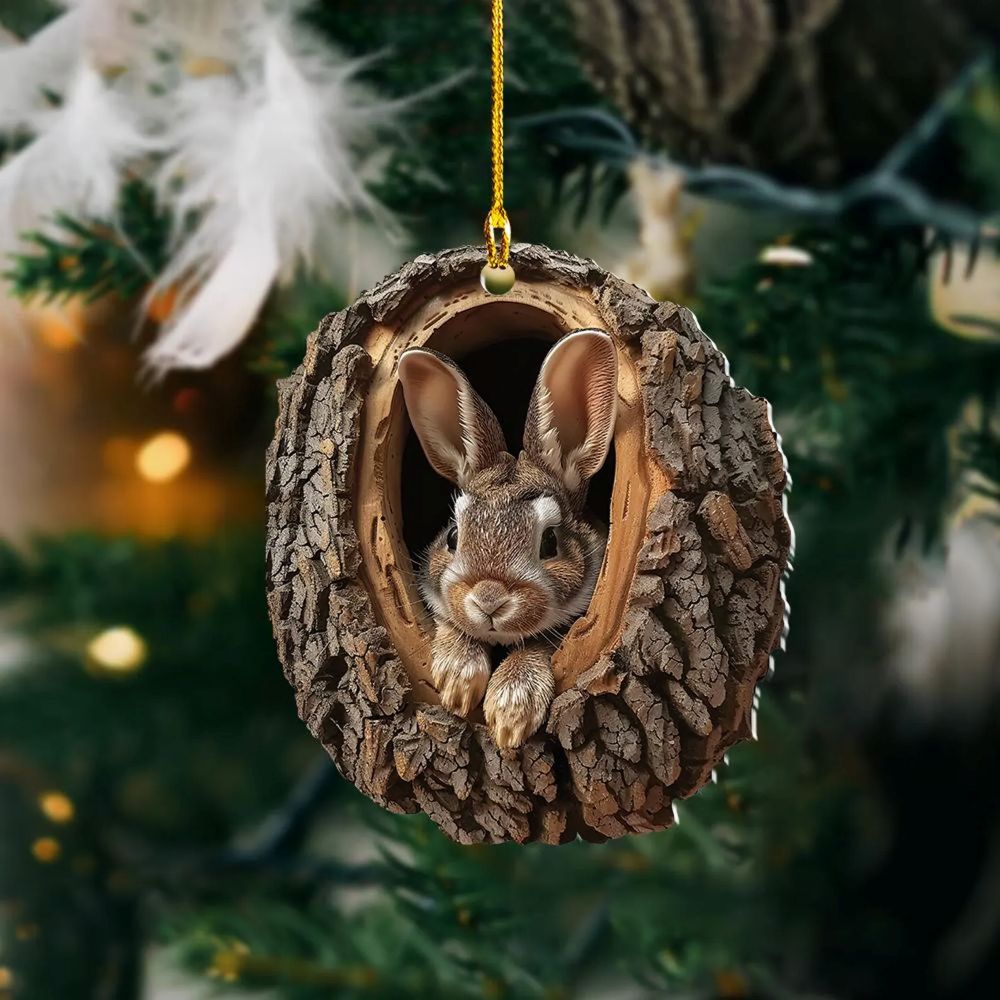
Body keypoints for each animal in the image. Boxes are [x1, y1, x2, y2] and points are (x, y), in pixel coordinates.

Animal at [397, 329, 618, 749]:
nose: (488, 599)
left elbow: (541, 643)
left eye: (550, 543)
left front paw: (510, 714)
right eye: (453, 536)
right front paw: (458, 681)